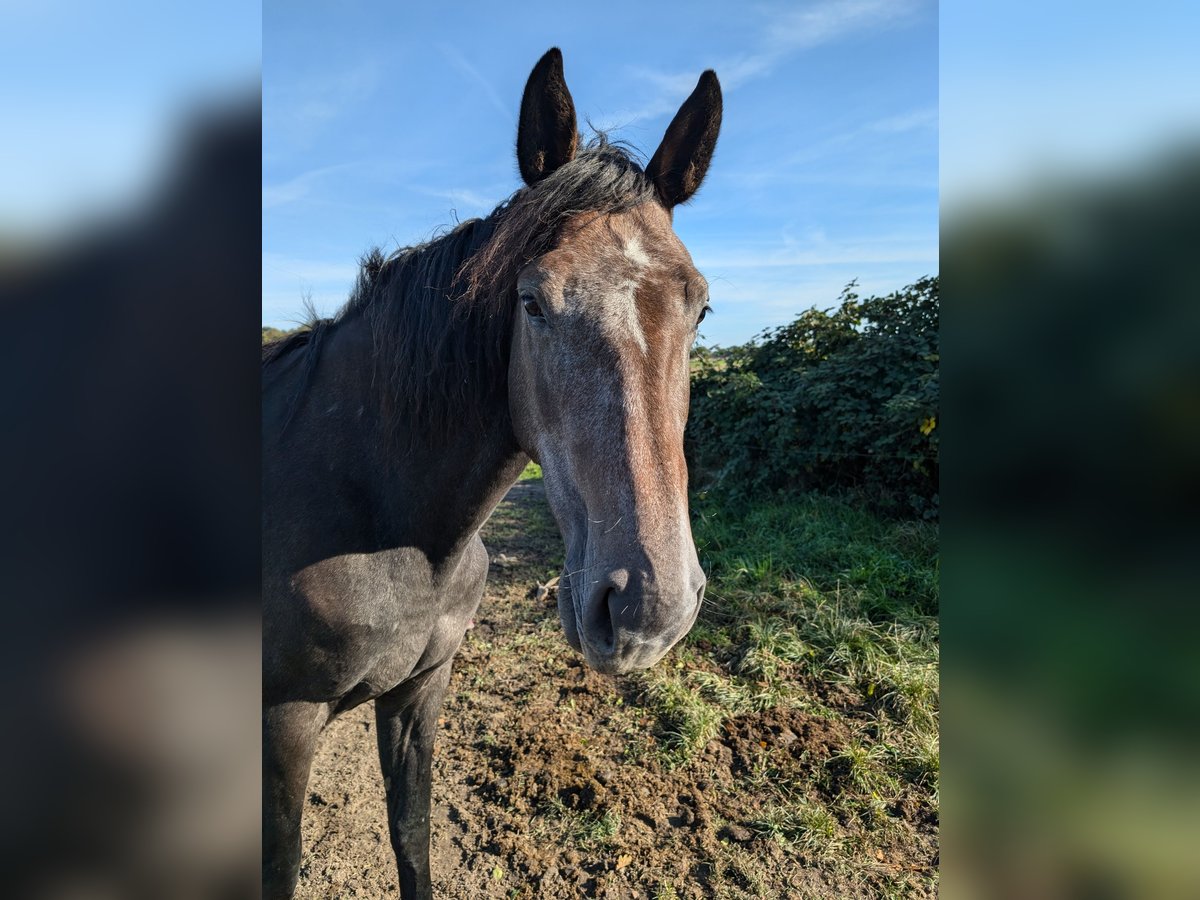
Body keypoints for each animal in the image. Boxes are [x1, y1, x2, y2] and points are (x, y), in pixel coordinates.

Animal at [265, 49, 720, 900]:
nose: (649, 609)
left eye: (700, 309)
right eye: (533, 303)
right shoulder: (284, 722)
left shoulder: (420, 692)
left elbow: (411, 839)